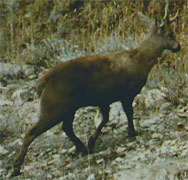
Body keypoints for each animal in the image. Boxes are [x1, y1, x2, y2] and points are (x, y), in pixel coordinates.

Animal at [12, 11, 181, 175]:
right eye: (170, 34)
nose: (178, 47)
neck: (141, 60)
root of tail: (43, 82)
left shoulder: (105, 99)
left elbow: (105, 118)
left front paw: (92, 141)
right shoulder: (126, 94)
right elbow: (128, 113)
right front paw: (131, 133)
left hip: (68, 107)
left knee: (66, 127)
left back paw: (82, 148)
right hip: (54, 106)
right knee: (31, 132)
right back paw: (16, 167)